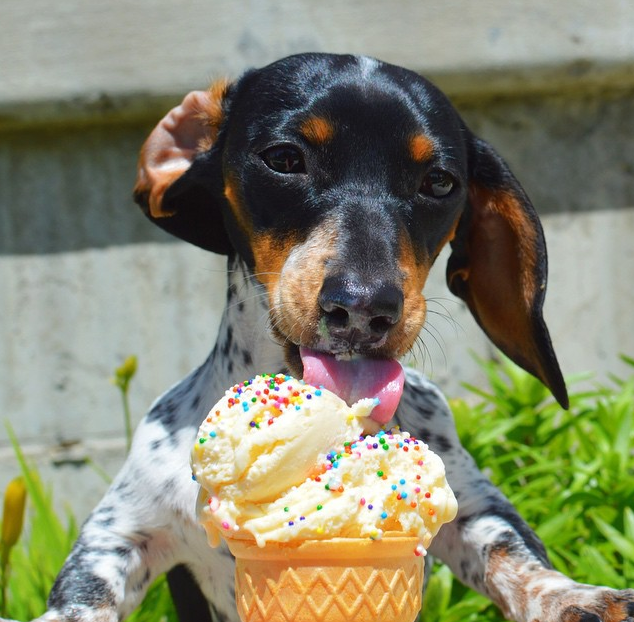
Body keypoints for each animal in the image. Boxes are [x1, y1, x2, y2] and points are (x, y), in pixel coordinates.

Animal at [26, 53, 633, 622]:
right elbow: (86, 591)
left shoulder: (474, 507)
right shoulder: (122, 529)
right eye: (284, 159)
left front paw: (576, 597)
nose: (364, 308)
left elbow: (514, 557)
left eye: (439, 182)